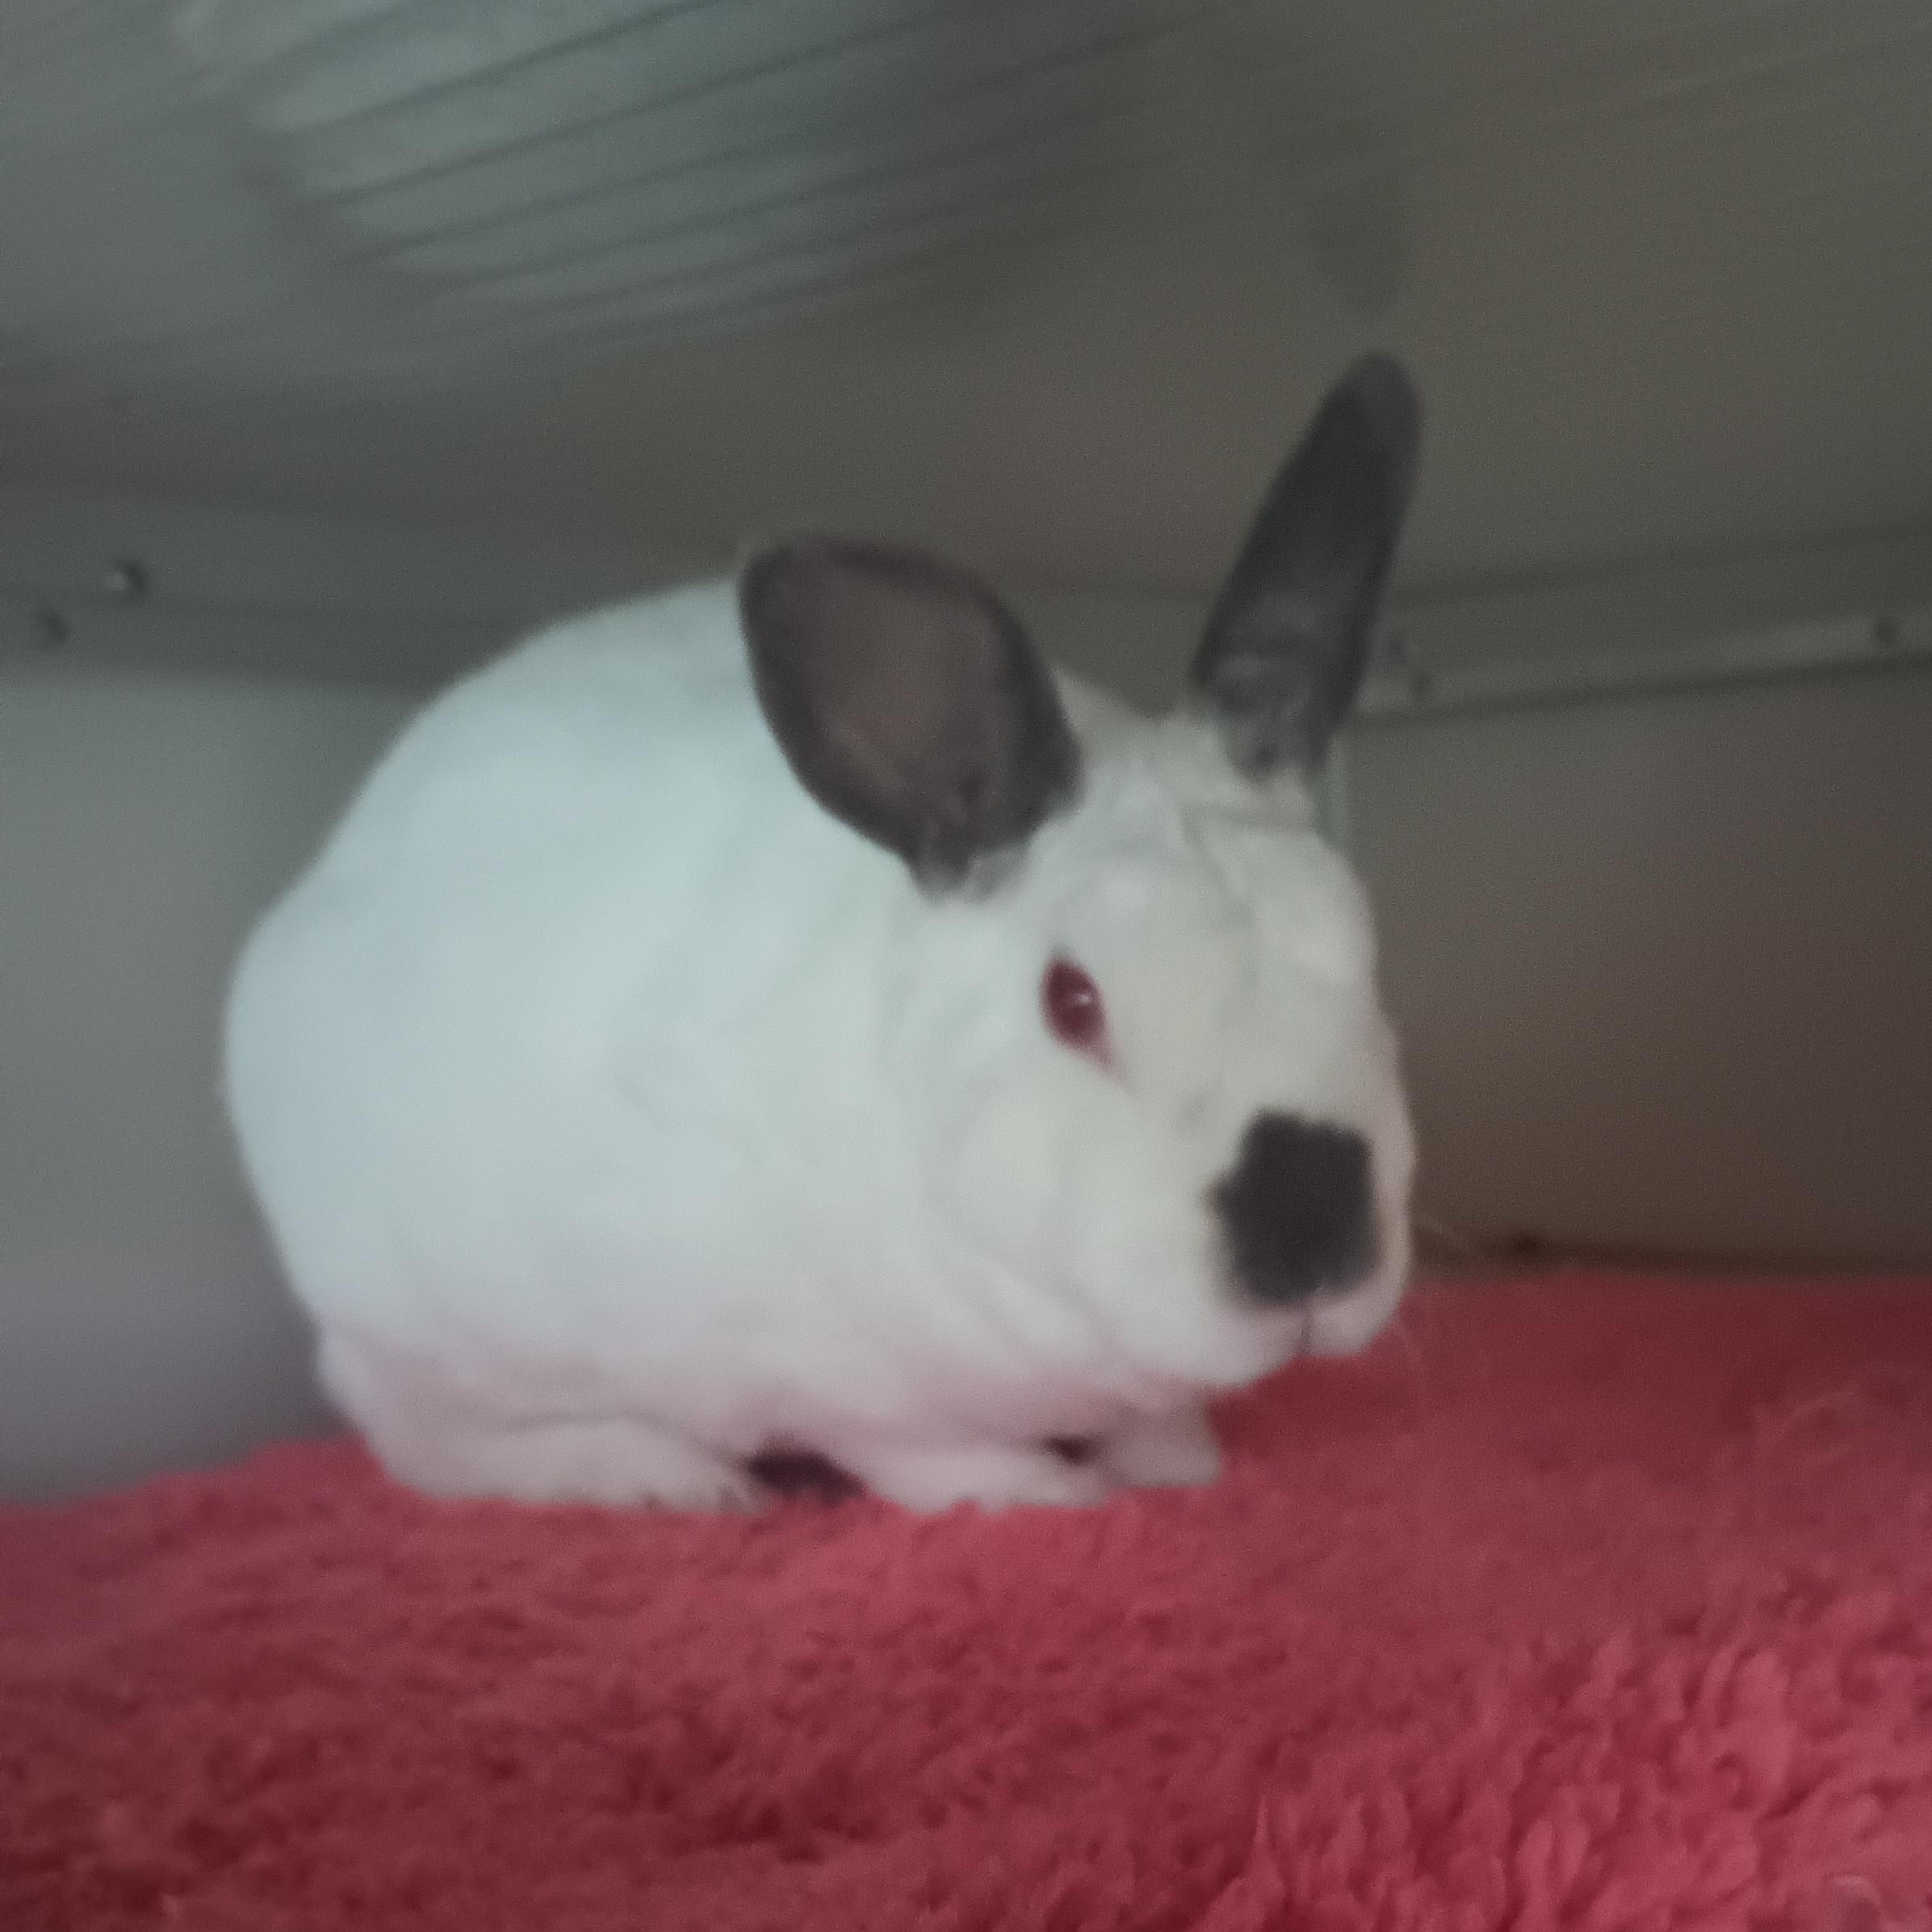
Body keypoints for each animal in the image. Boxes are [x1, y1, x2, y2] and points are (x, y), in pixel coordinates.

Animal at [223, 354, 1423, 1514]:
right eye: (1072, 1000)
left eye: (1368, 955)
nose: (1312, 1236)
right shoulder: (842, 1381)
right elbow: (928, 1455)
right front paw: (1044, 1494)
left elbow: (1160, 1418)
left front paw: (1179, 1468)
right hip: (424, 1335)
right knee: (423, 1445)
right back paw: (663, 1478)